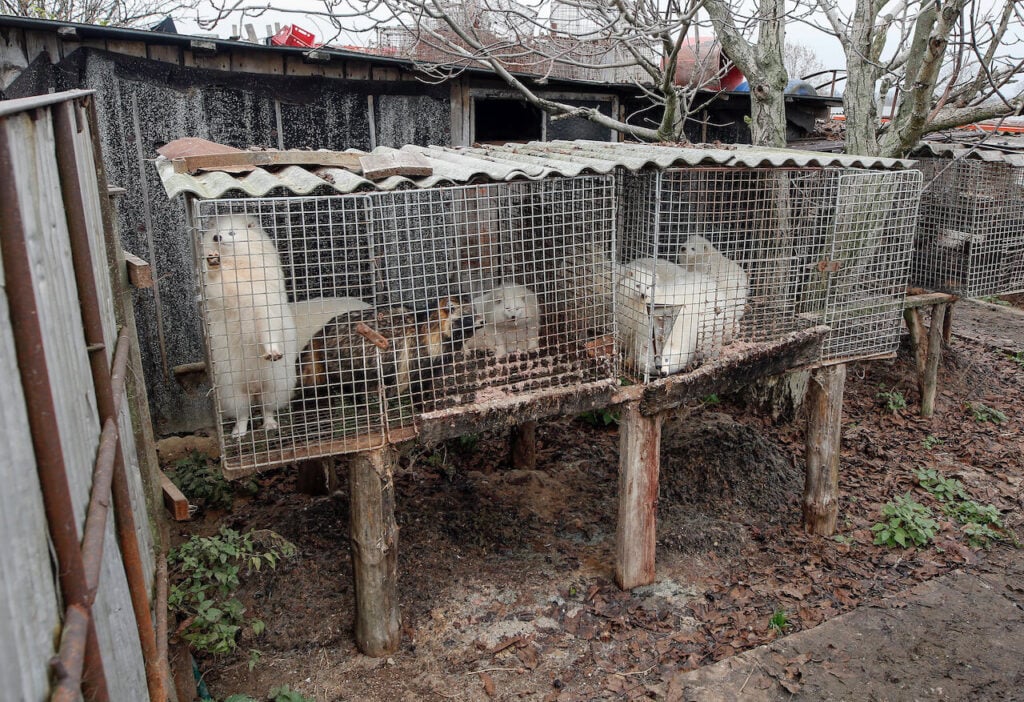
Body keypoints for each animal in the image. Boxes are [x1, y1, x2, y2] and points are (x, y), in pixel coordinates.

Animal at [199, 214, 296, 437]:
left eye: (232, 232)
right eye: (216, 233)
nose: (217, 237)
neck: (235, 264)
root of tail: (253, 387)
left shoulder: (263, 305)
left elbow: (267, 331)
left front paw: (272, 352)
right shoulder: (220, 292)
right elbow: (216, 282)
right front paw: (213, 262)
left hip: (274, 384)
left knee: (267, 408)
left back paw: (269, 424)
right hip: (232, 390)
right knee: (243, 413)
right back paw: (238, 432)